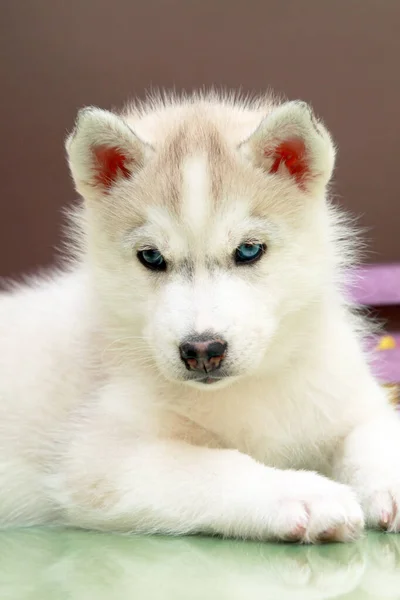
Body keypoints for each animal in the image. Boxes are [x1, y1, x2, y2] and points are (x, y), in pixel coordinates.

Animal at [0, 92, 400, 544]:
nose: (203, 350)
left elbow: (376, 435)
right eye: (151, 257)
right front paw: (304, 495)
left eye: (248, 250)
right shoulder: (101, 458)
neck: (247, 389)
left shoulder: (352, 399)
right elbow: (218, 466)